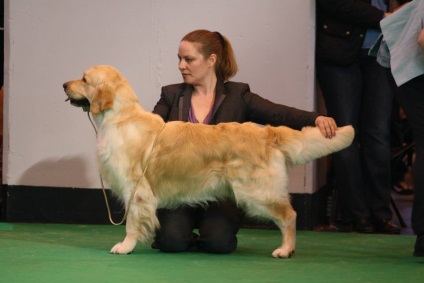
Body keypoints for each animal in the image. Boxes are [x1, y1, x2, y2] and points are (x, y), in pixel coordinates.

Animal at [63, 65, 354, 258]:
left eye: (84, 79)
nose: (64, 84)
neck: (119, 118)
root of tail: (267, 132)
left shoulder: (136, 189)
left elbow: (132, 222)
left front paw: (125, 246)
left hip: (256, 191)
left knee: (289, 215)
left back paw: (285, 249)